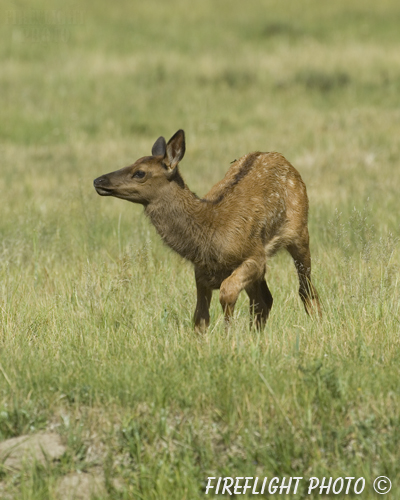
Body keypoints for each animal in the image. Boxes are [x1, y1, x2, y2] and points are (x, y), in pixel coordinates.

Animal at [94, 130, 322, 332]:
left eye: (140, 172)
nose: (98, 180)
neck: (210, 235)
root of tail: (276, 155)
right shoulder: (201, 272)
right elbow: (200, 317)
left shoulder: (255, 256)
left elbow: (227, 292)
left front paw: (229, 336)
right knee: (265, 300)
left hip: (299, 232)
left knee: (305, 289)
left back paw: (317, 324)